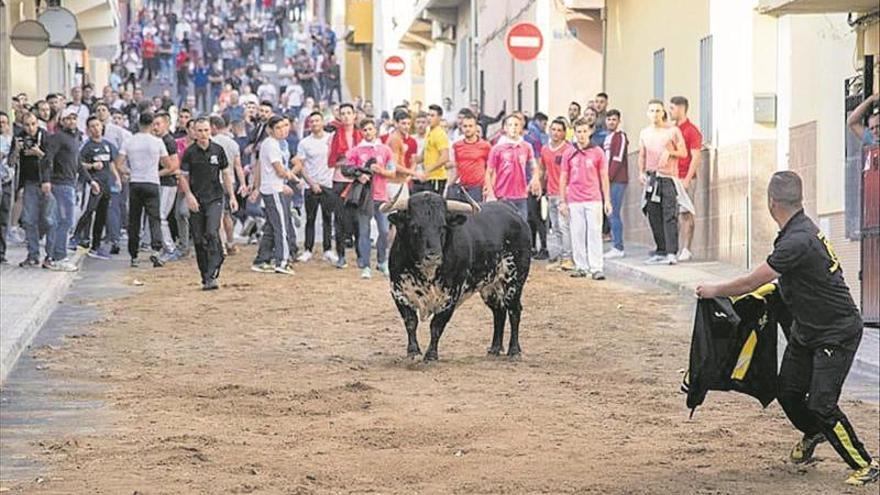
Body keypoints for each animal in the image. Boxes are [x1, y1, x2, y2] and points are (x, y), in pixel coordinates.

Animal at [378, 190, 528, 360]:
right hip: (490, 286)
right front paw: (413, 351)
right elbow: (410, 322)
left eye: (443, 226)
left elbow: (436, 325)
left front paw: (431, 354)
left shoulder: (451, 296)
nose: (433, 256)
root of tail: (513, 212)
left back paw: (514, 350)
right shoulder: (399, 292)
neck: (426, 274)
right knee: (499, 312)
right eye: (415, 227)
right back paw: (495, 348)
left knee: (514, 311)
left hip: (514, 281)